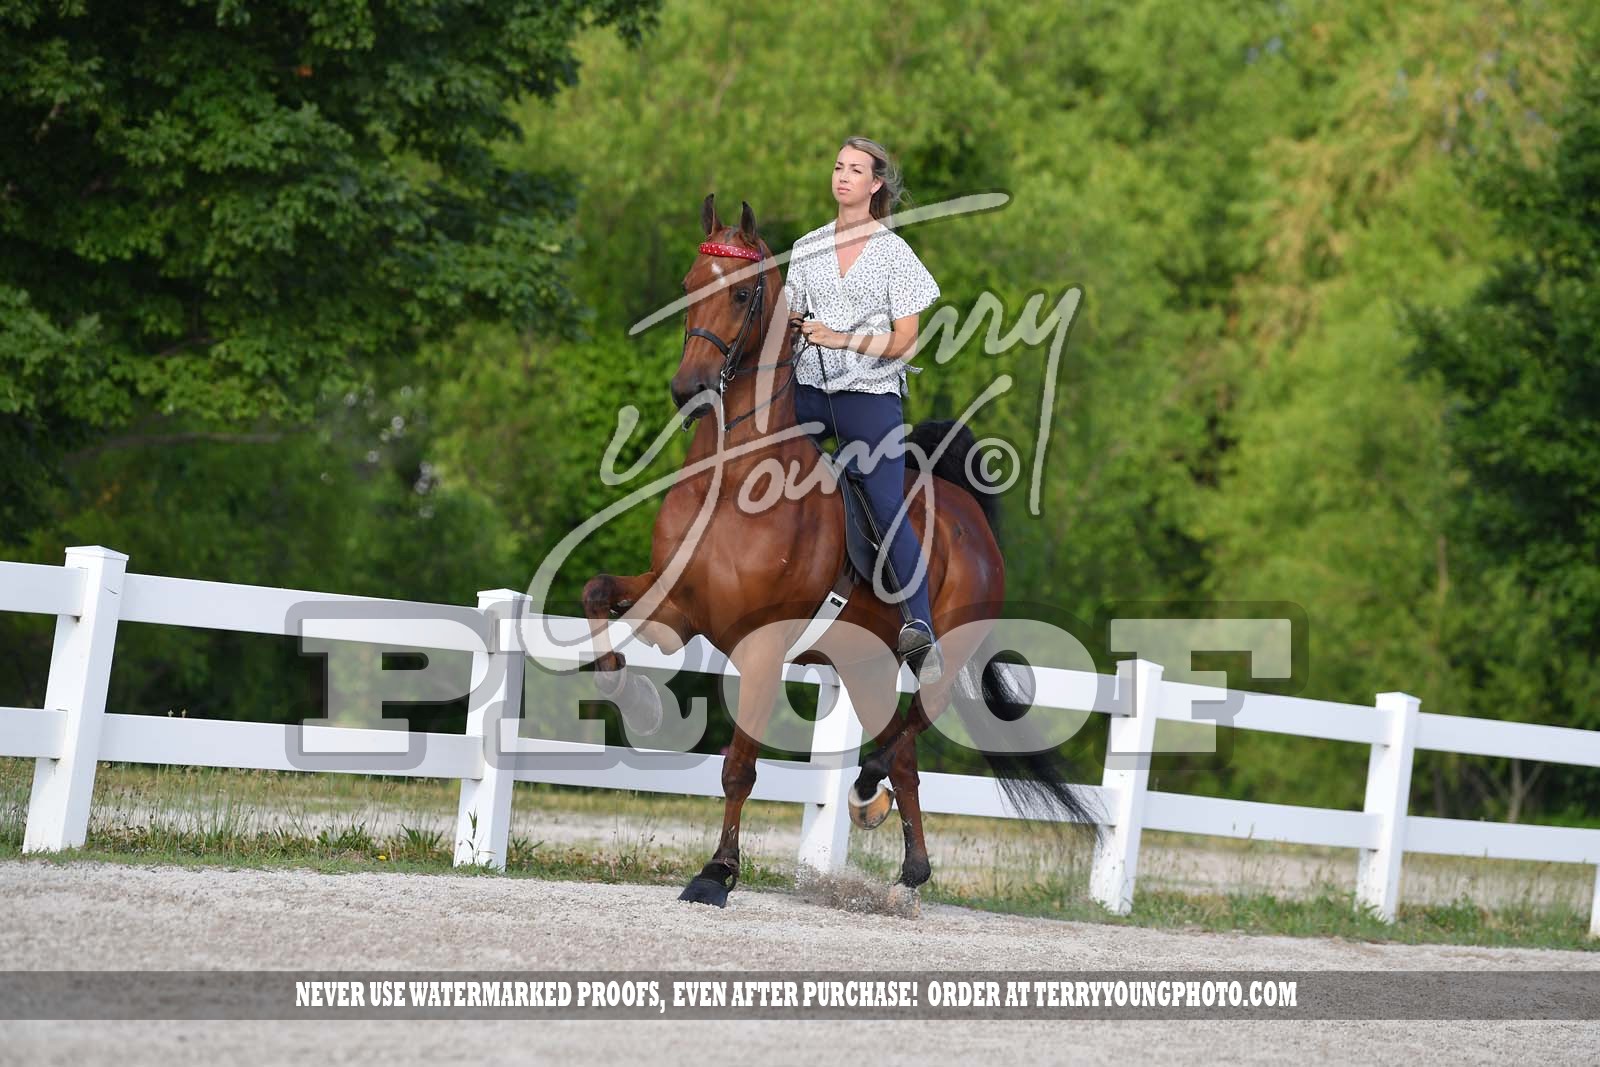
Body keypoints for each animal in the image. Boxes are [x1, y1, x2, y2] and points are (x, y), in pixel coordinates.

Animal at [580, 193, 1098, 907]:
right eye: (688, 285)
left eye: (740, 293)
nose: (690, 391)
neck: (733, 482)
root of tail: (967, 513)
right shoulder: (676, 607)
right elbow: (597, 592)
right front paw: (637, 701)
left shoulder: (762, 646)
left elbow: (740, 766)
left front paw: (717, 873)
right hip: (864, 662)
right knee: (904, 758)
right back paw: (909, 870)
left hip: (939, 647)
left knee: (913, 728)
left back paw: (868, 791)